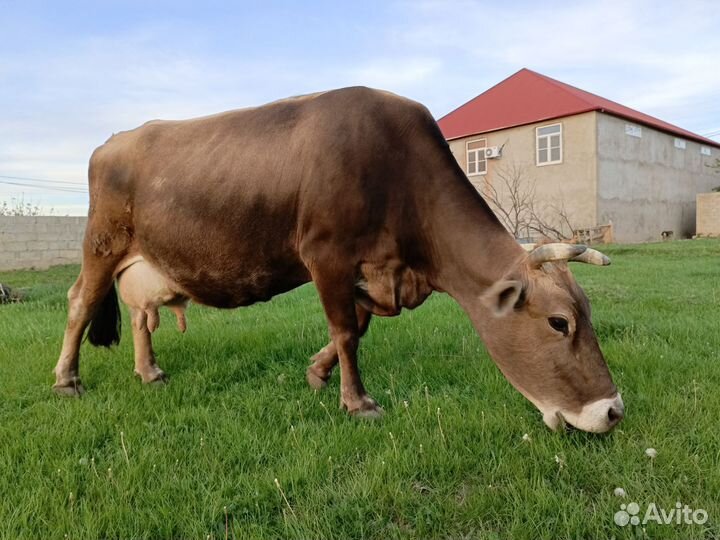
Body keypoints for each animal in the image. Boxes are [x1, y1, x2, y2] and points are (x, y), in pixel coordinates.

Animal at [53, 86, 624, 433]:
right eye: (559, 322)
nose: (613, 411)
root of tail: (114, 140)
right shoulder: (325, 254)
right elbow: (348, 331)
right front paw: (357, 401)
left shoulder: (373, 270)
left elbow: (357, 327)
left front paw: (317, 372)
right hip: (102, 242)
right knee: (81, 301)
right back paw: (67, 380)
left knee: (139, 316)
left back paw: (149, 372)